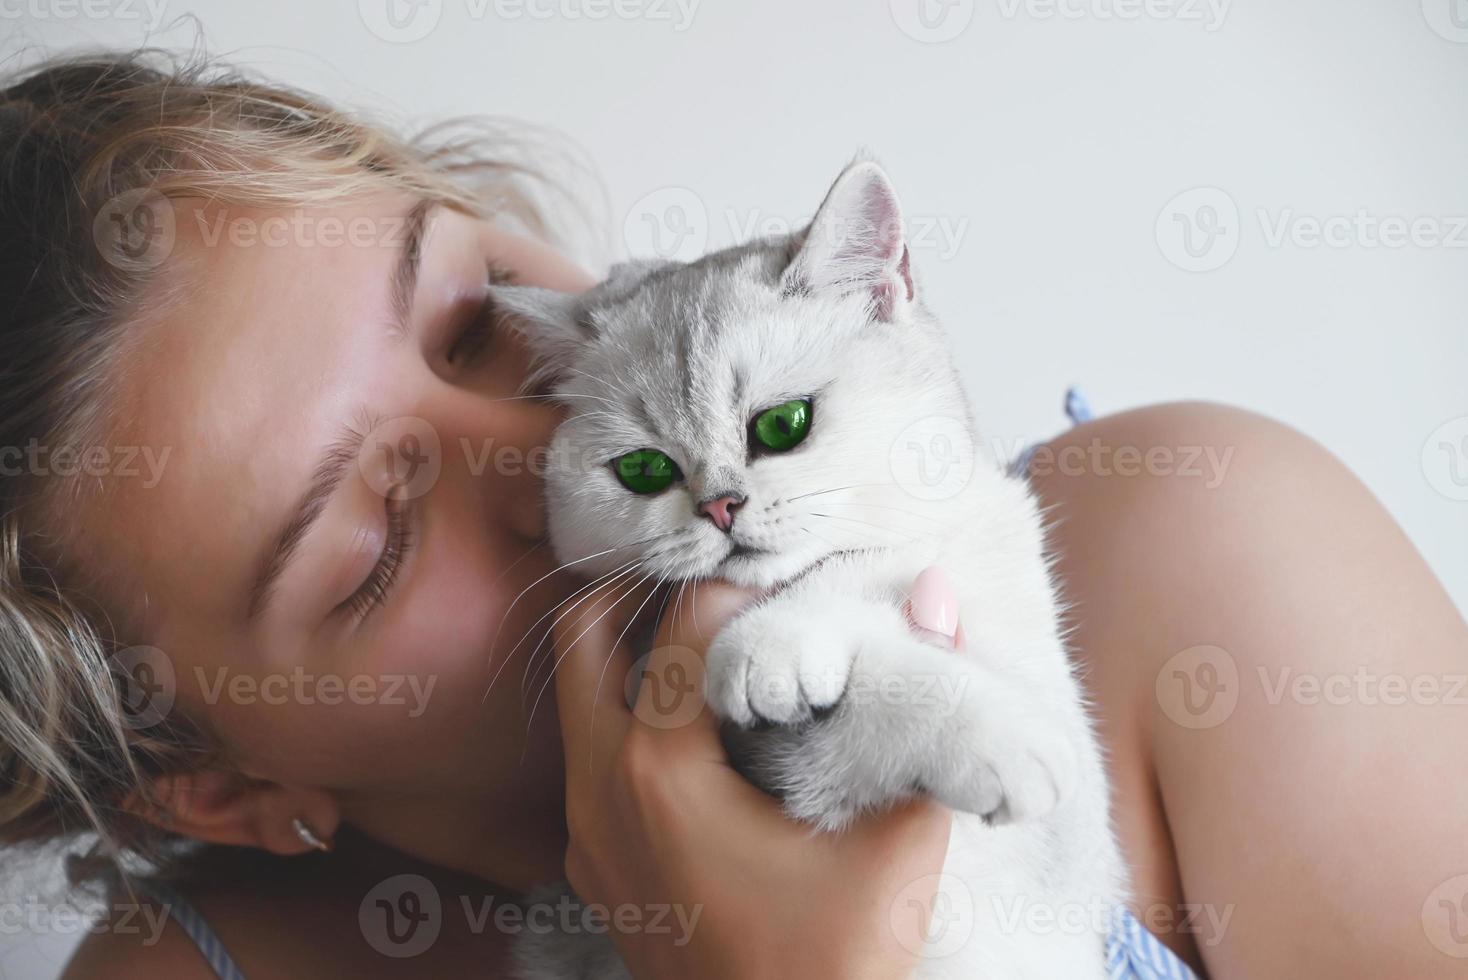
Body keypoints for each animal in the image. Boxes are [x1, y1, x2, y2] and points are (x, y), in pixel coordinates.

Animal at [493, 162, 1121, 979]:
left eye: (783, 425)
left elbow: (871, 566)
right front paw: (996, 738)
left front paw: (775, 640)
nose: (720, 506)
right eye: (643, 470)